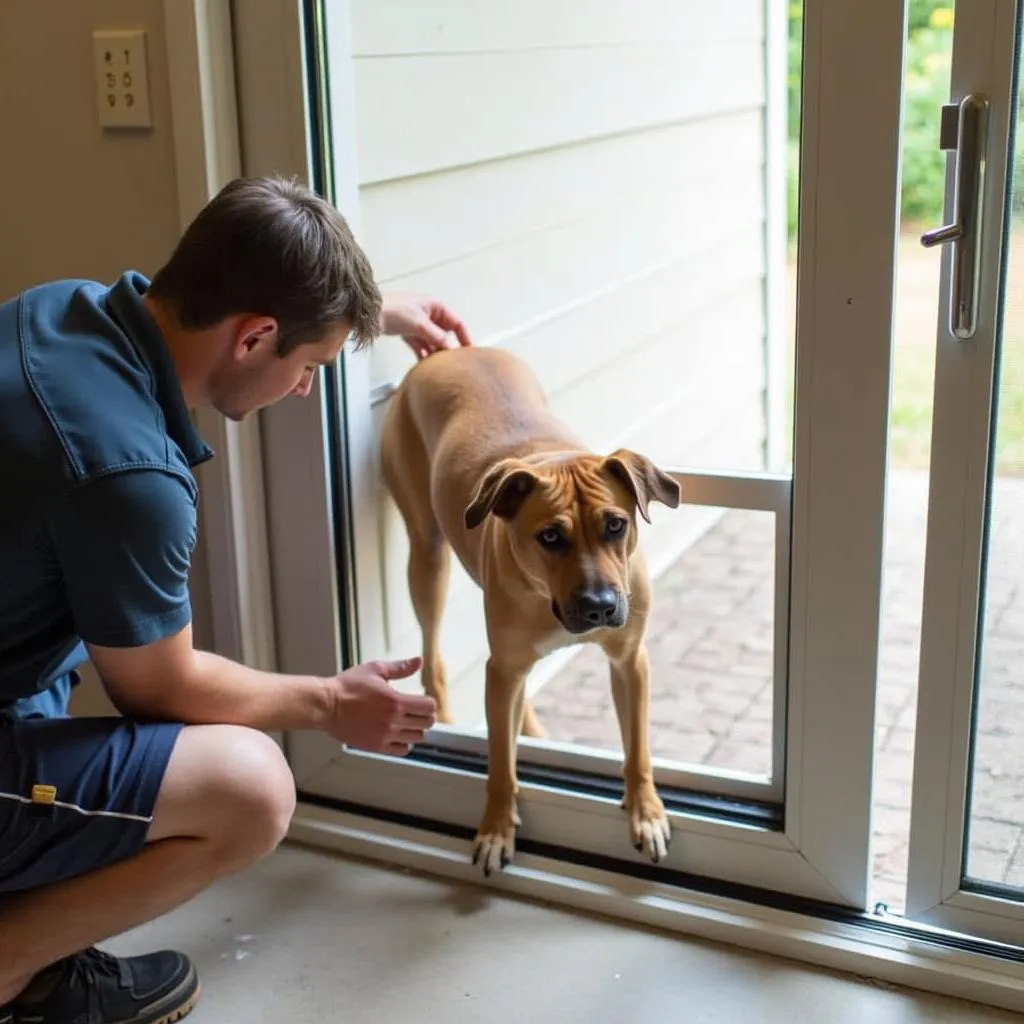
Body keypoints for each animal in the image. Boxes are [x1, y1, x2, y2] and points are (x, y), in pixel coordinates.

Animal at [378, 344, 679, 872]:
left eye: (616, 525)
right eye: (551, 536)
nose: (600, 606)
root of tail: (451, 352)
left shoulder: (629, 661)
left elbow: (638, 747)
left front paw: (646, 811)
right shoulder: (500, 669)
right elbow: (500, 759)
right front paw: (497, 826)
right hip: (427, 558)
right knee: (433, 655)